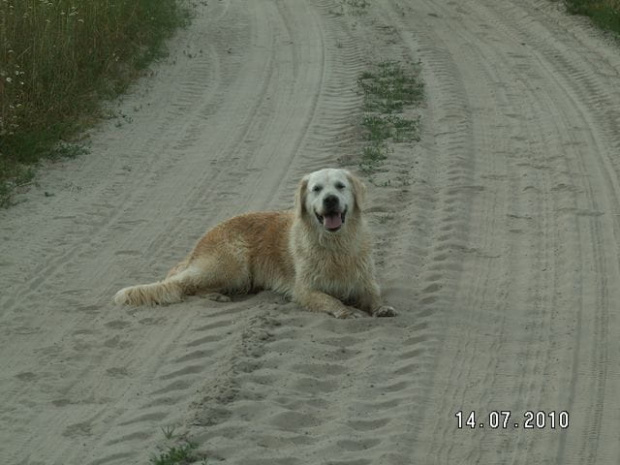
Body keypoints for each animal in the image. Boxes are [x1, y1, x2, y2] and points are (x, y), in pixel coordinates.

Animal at [115, 168, 398, 320]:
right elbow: (330, 300)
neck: (335, 244)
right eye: (317, 189)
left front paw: (381, 308)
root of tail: (199, 244)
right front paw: (346, 311)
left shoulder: (365, 281)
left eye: (340, 186)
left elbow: (373, 295)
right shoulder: (305, 290)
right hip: (233, 265)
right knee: (186, 285)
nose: (330, 200)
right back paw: (216, 295)